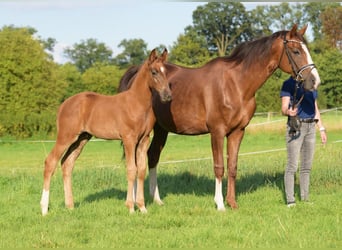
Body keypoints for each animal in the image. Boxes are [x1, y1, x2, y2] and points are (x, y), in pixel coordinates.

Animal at [40, 48, 172, 215]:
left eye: (166, 72)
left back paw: (70, 206)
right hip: (65, 137)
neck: (137, 103)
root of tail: (63, 105)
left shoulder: (144, 140)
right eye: (154, 72)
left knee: (67, 163)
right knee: (50, 162)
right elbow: (131, 169)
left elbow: (141, 170)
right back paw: (44, 209)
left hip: (82, 138)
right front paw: (130, 207)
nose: (168, 96)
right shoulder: (129, 139)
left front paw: (142, 207)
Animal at [118, 23, 320, 211]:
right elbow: (219, 166)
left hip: (161, 129)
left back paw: (157, 200)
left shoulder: (238, 132)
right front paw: (220, 204)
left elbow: (232, 167)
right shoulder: (217, 132)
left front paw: (232, 202)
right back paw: (136, 200)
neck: (236, 84)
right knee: (137, 160)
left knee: (152, 157)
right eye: (296, 51)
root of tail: (136, 72)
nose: (314, 81)